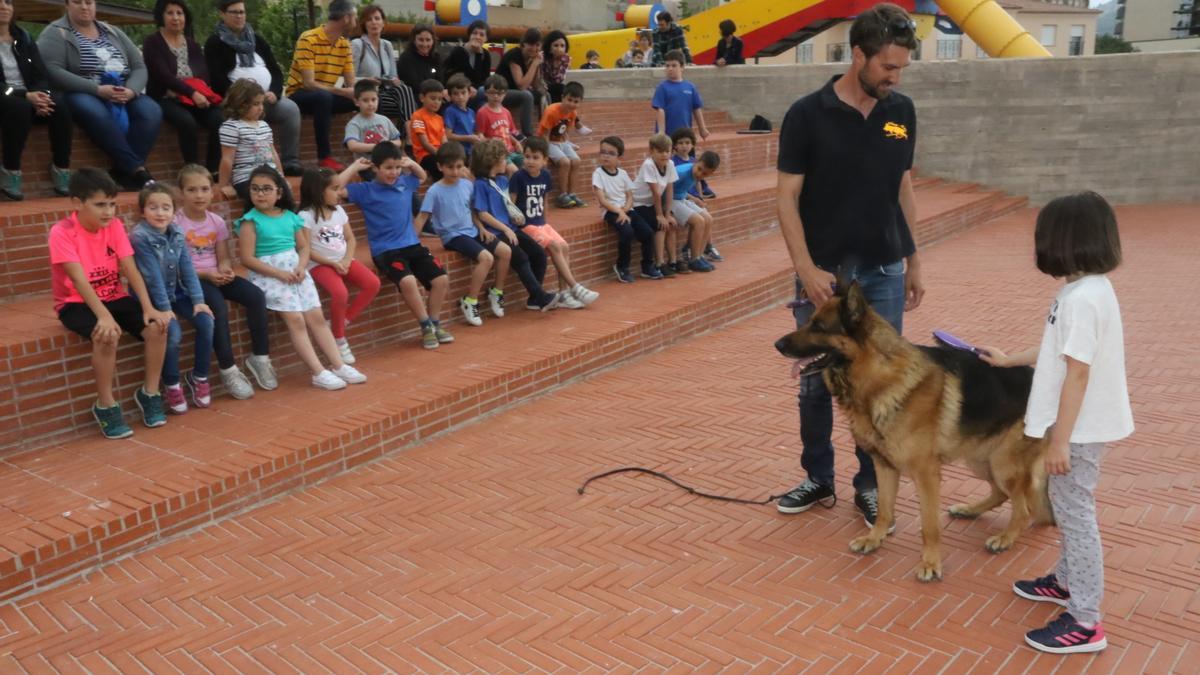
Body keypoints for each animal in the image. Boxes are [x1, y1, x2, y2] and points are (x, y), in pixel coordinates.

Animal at [772, 281, 1046, 581]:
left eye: (819, 326)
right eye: (808, 320)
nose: (778, 344)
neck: (875, 378)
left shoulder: (926, 474)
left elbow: (929, 524)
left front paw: (930, 563)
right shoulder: (883, 465)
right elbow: (884, 509)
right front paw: (874, 539)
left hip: (1002, 463)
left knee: (1024, 507)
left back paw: (1005, 538)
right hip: (980, 459)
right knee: (1001, 494)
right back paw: (970, 509)